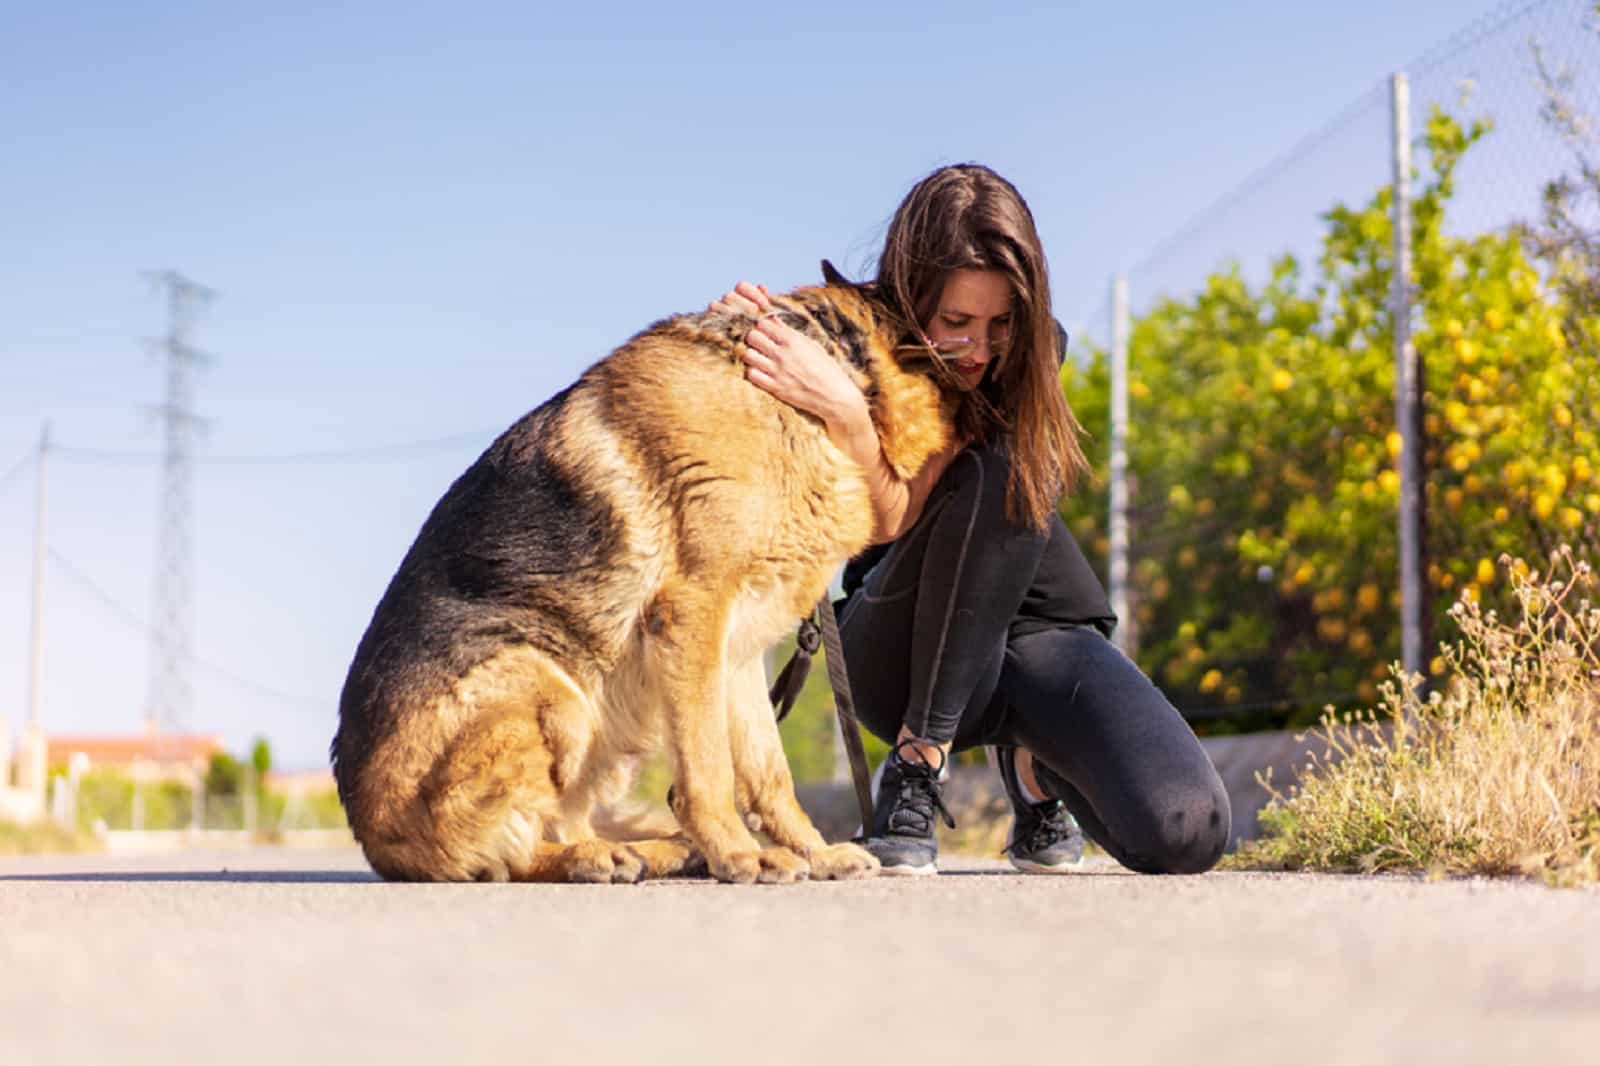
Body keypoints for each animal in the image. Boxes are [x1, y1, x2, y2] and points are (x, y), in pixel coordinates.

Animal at [324, 267, 947, 877]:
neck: (806, 381)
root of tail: (373, 838)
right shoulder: (693, 618)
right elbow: (708, 769)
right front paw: (741, 854)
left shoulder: (739, 649)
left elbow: (769, 772)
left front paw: (812, 852)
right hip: (547, 688)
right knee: (511, 854)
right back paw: (595, 858)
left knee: (565, 821)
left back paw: (653, 852)